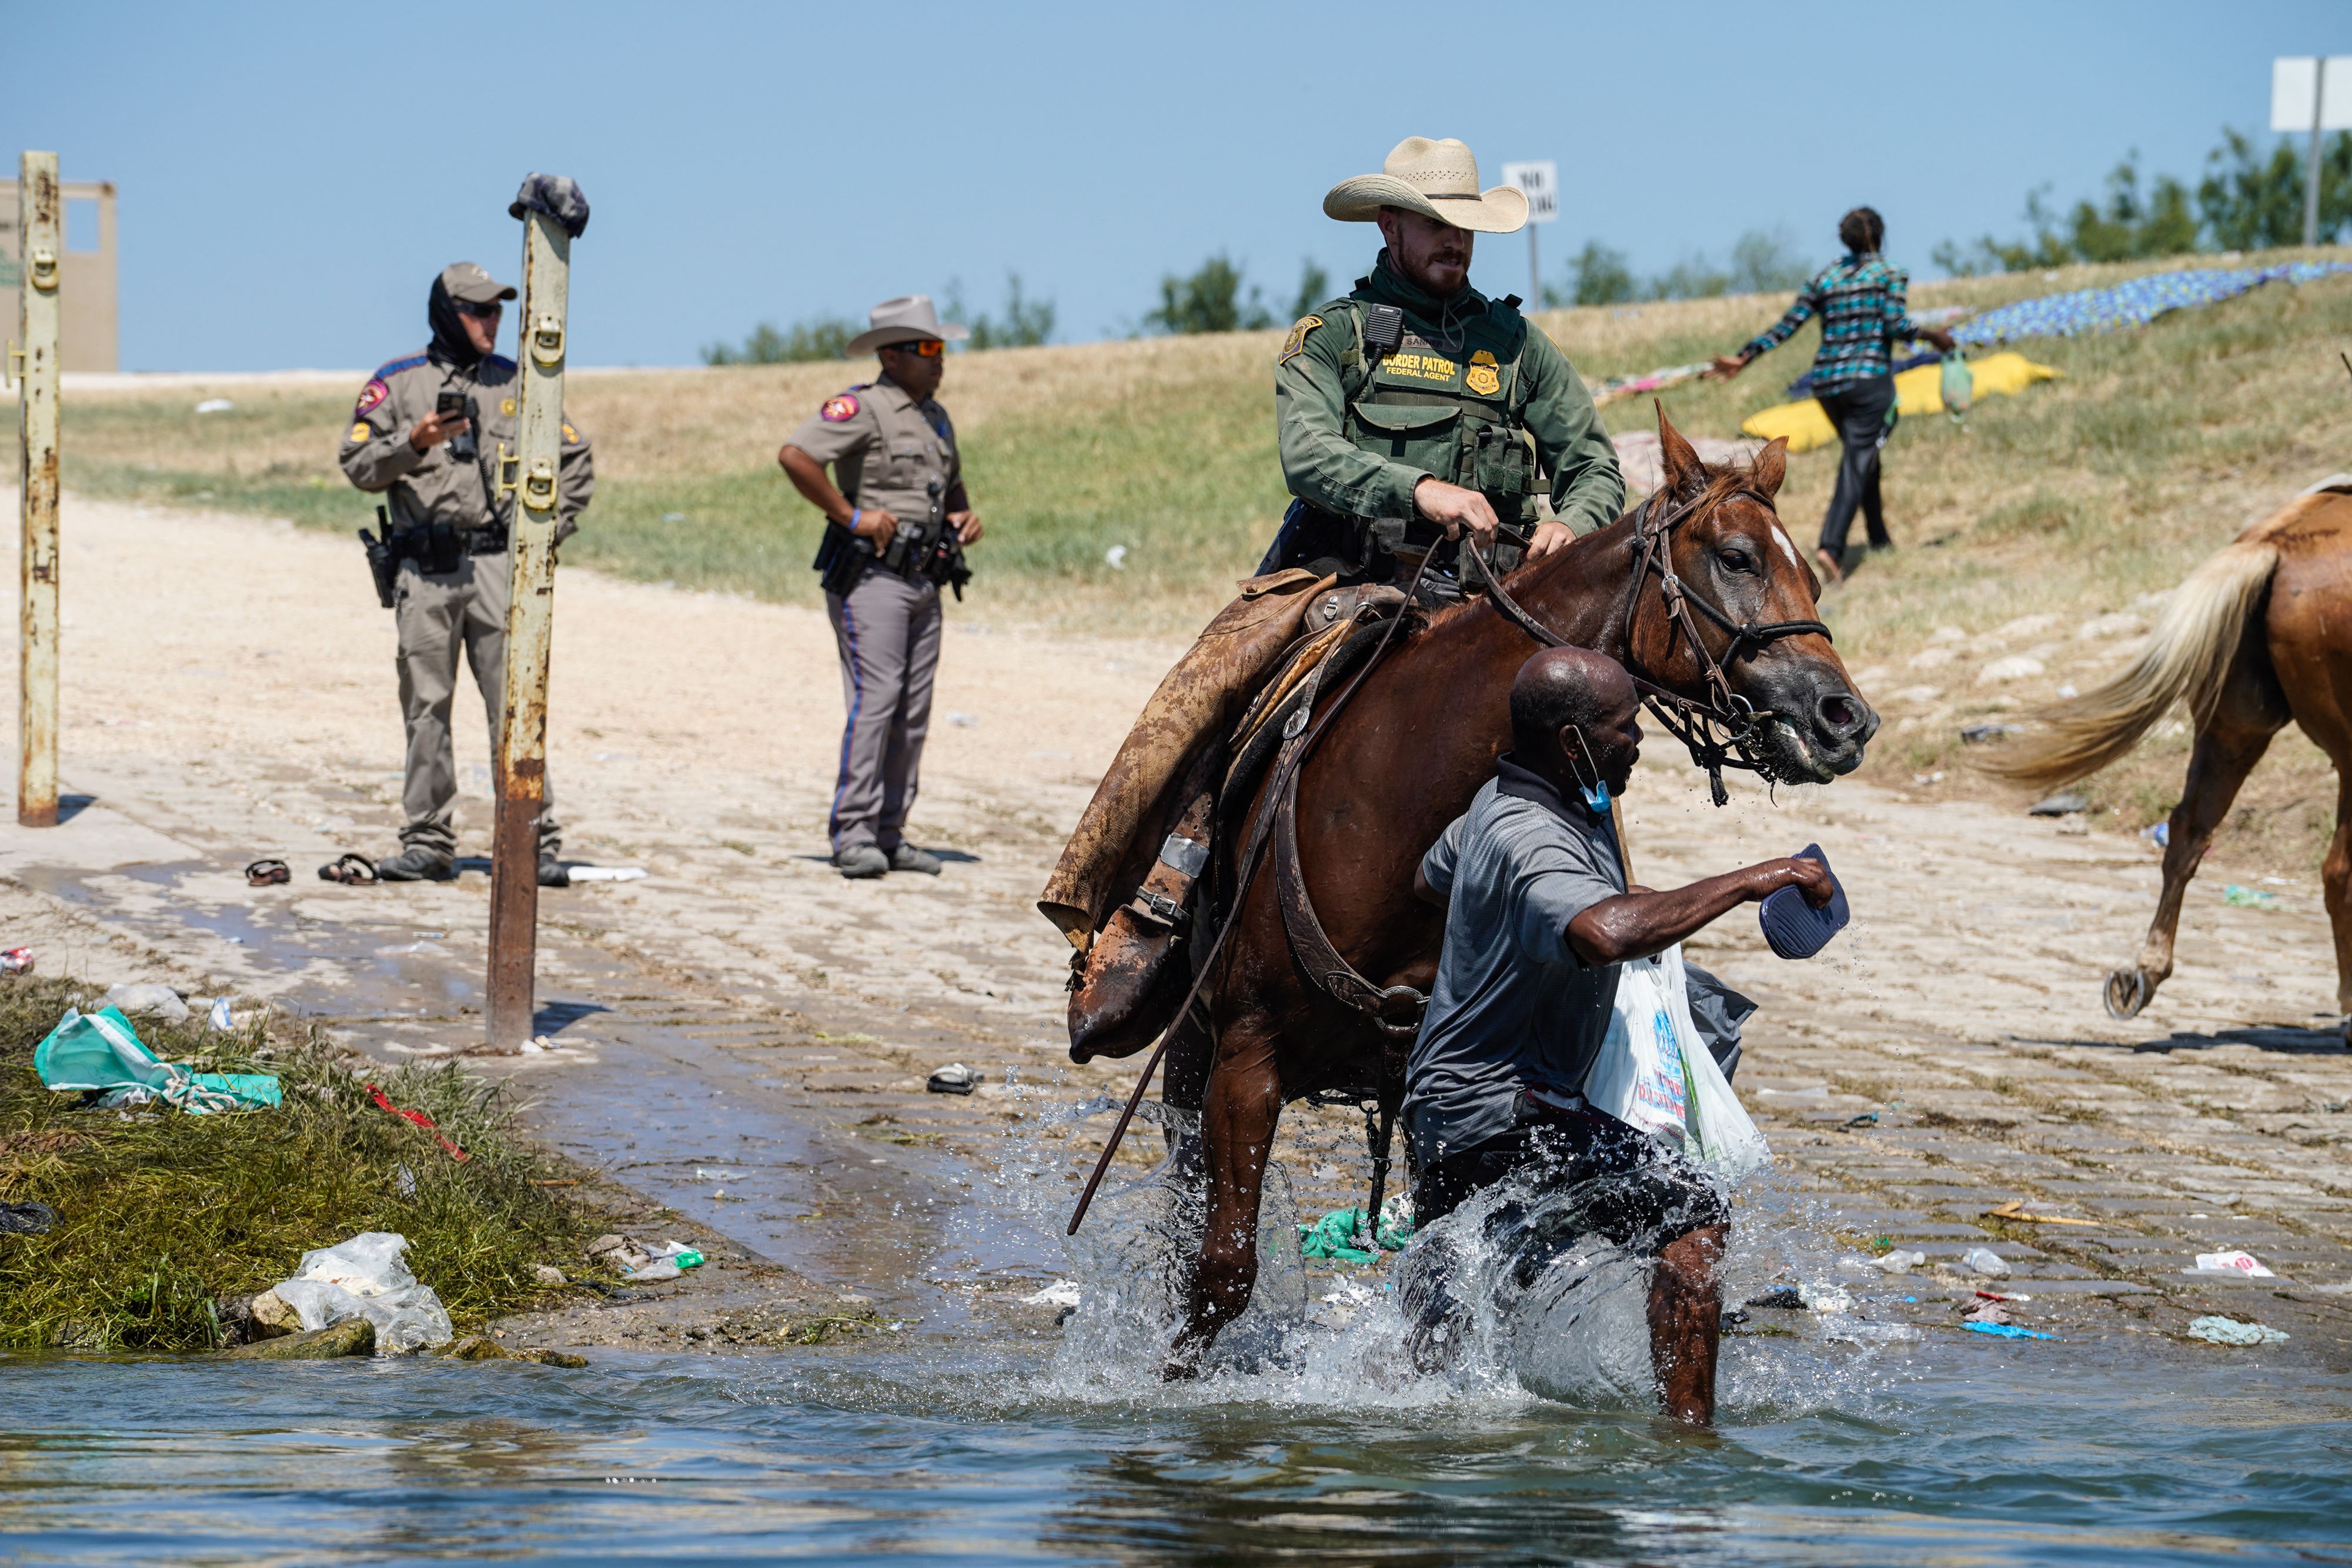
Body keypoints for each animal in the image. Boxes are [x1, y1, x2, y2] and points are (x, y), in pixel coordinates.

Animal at [1154, 412, 1878, 1369]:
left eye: (1812, 571)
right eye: (1736, 558)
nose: (1846, 717)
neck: (1393, 800)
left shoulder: (1438, 1109)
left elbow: (1443, 1294)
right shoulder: (1246, 1056)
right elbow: (1222, 1273)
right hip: (1191, 1049)